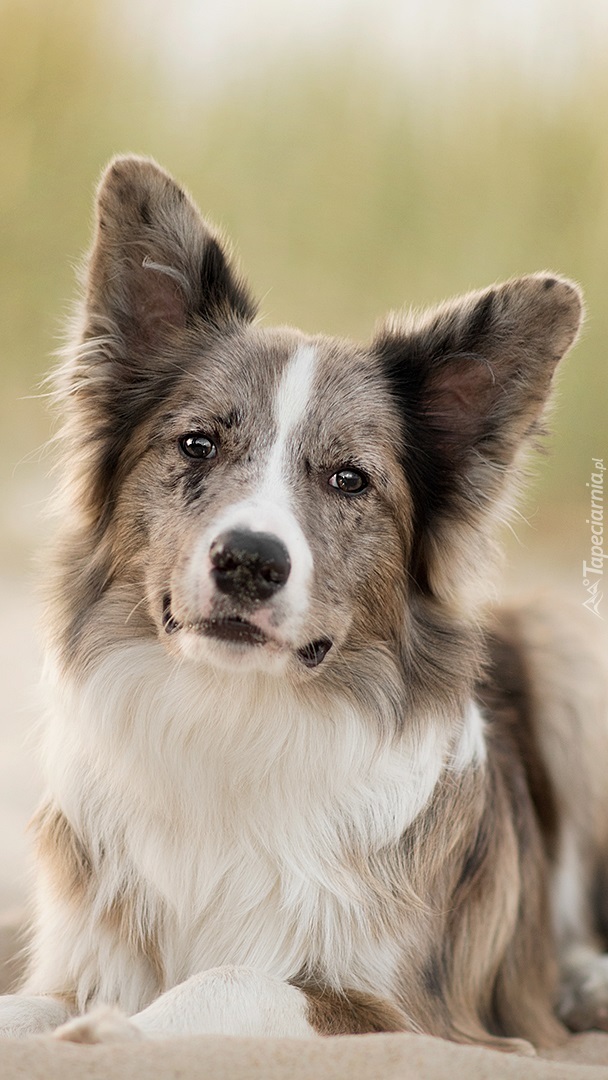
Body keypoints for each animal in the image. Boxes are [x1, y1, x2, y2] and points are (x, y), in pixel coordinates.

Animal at [1, 156, 608, 1049]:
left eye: (349, 478)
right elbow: (27, 1005)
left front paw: (111, 1031)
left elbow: (231, 981)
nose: (250, 562)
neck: (232, 718)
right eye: (197, 444)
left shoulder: (407, 1011)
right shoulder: (83, 955)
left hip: (566, 641)